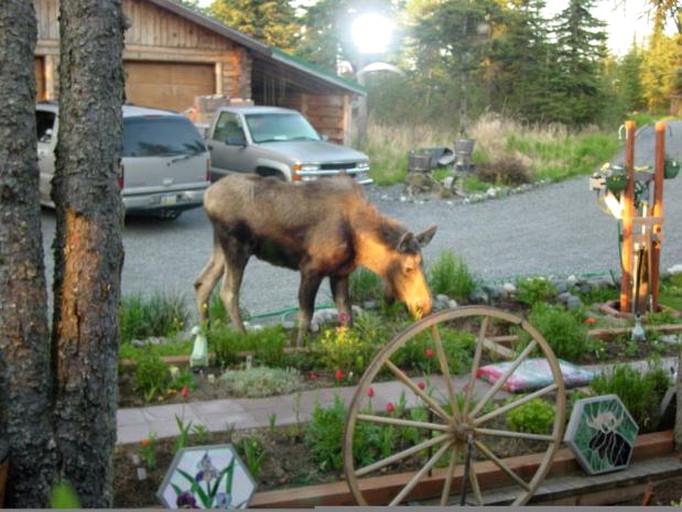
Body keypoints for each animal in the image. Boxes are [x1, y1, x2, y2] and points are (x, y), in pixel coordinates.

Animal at [193, 174, 436, 346]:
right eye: (408, 268)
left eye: (423, 263)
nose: (425, 305)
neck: (361, 243)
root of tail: (206, 197)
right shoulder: (311, 269)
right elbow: (306, 315)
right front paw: (300, 348)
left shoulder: (340, 273)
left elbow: (346, 314)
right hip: (237, 247)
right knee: (227, 292)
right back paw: (244, 339)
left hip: (221, 247)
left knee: (202, 283)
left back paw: (207, 335)